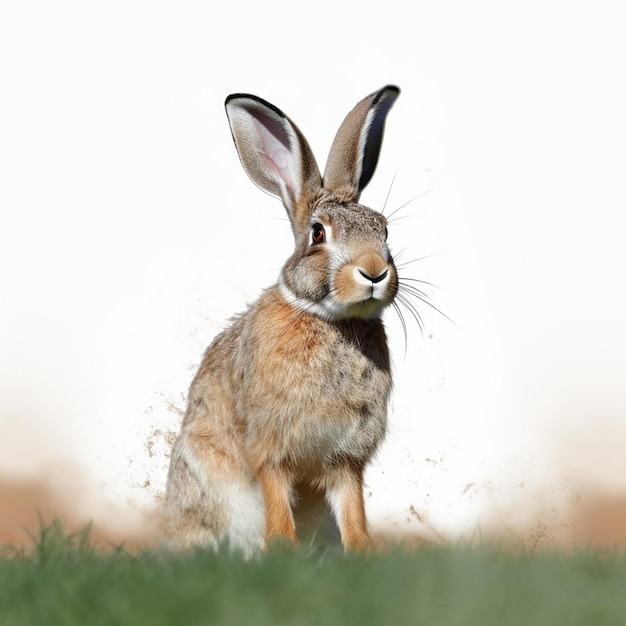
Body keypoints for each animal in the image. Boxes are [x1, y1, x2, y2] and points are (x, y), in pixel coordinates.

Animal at [165, 84, 400, 556]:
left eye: (384, 231)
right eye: (317, 233)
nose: (374, 271)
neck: (333, 322)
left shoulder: (345, 457)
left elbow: (352, 507)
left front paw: (362, 552)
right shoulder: (270, 447)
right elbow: (276, 494)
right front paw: (283, 550)